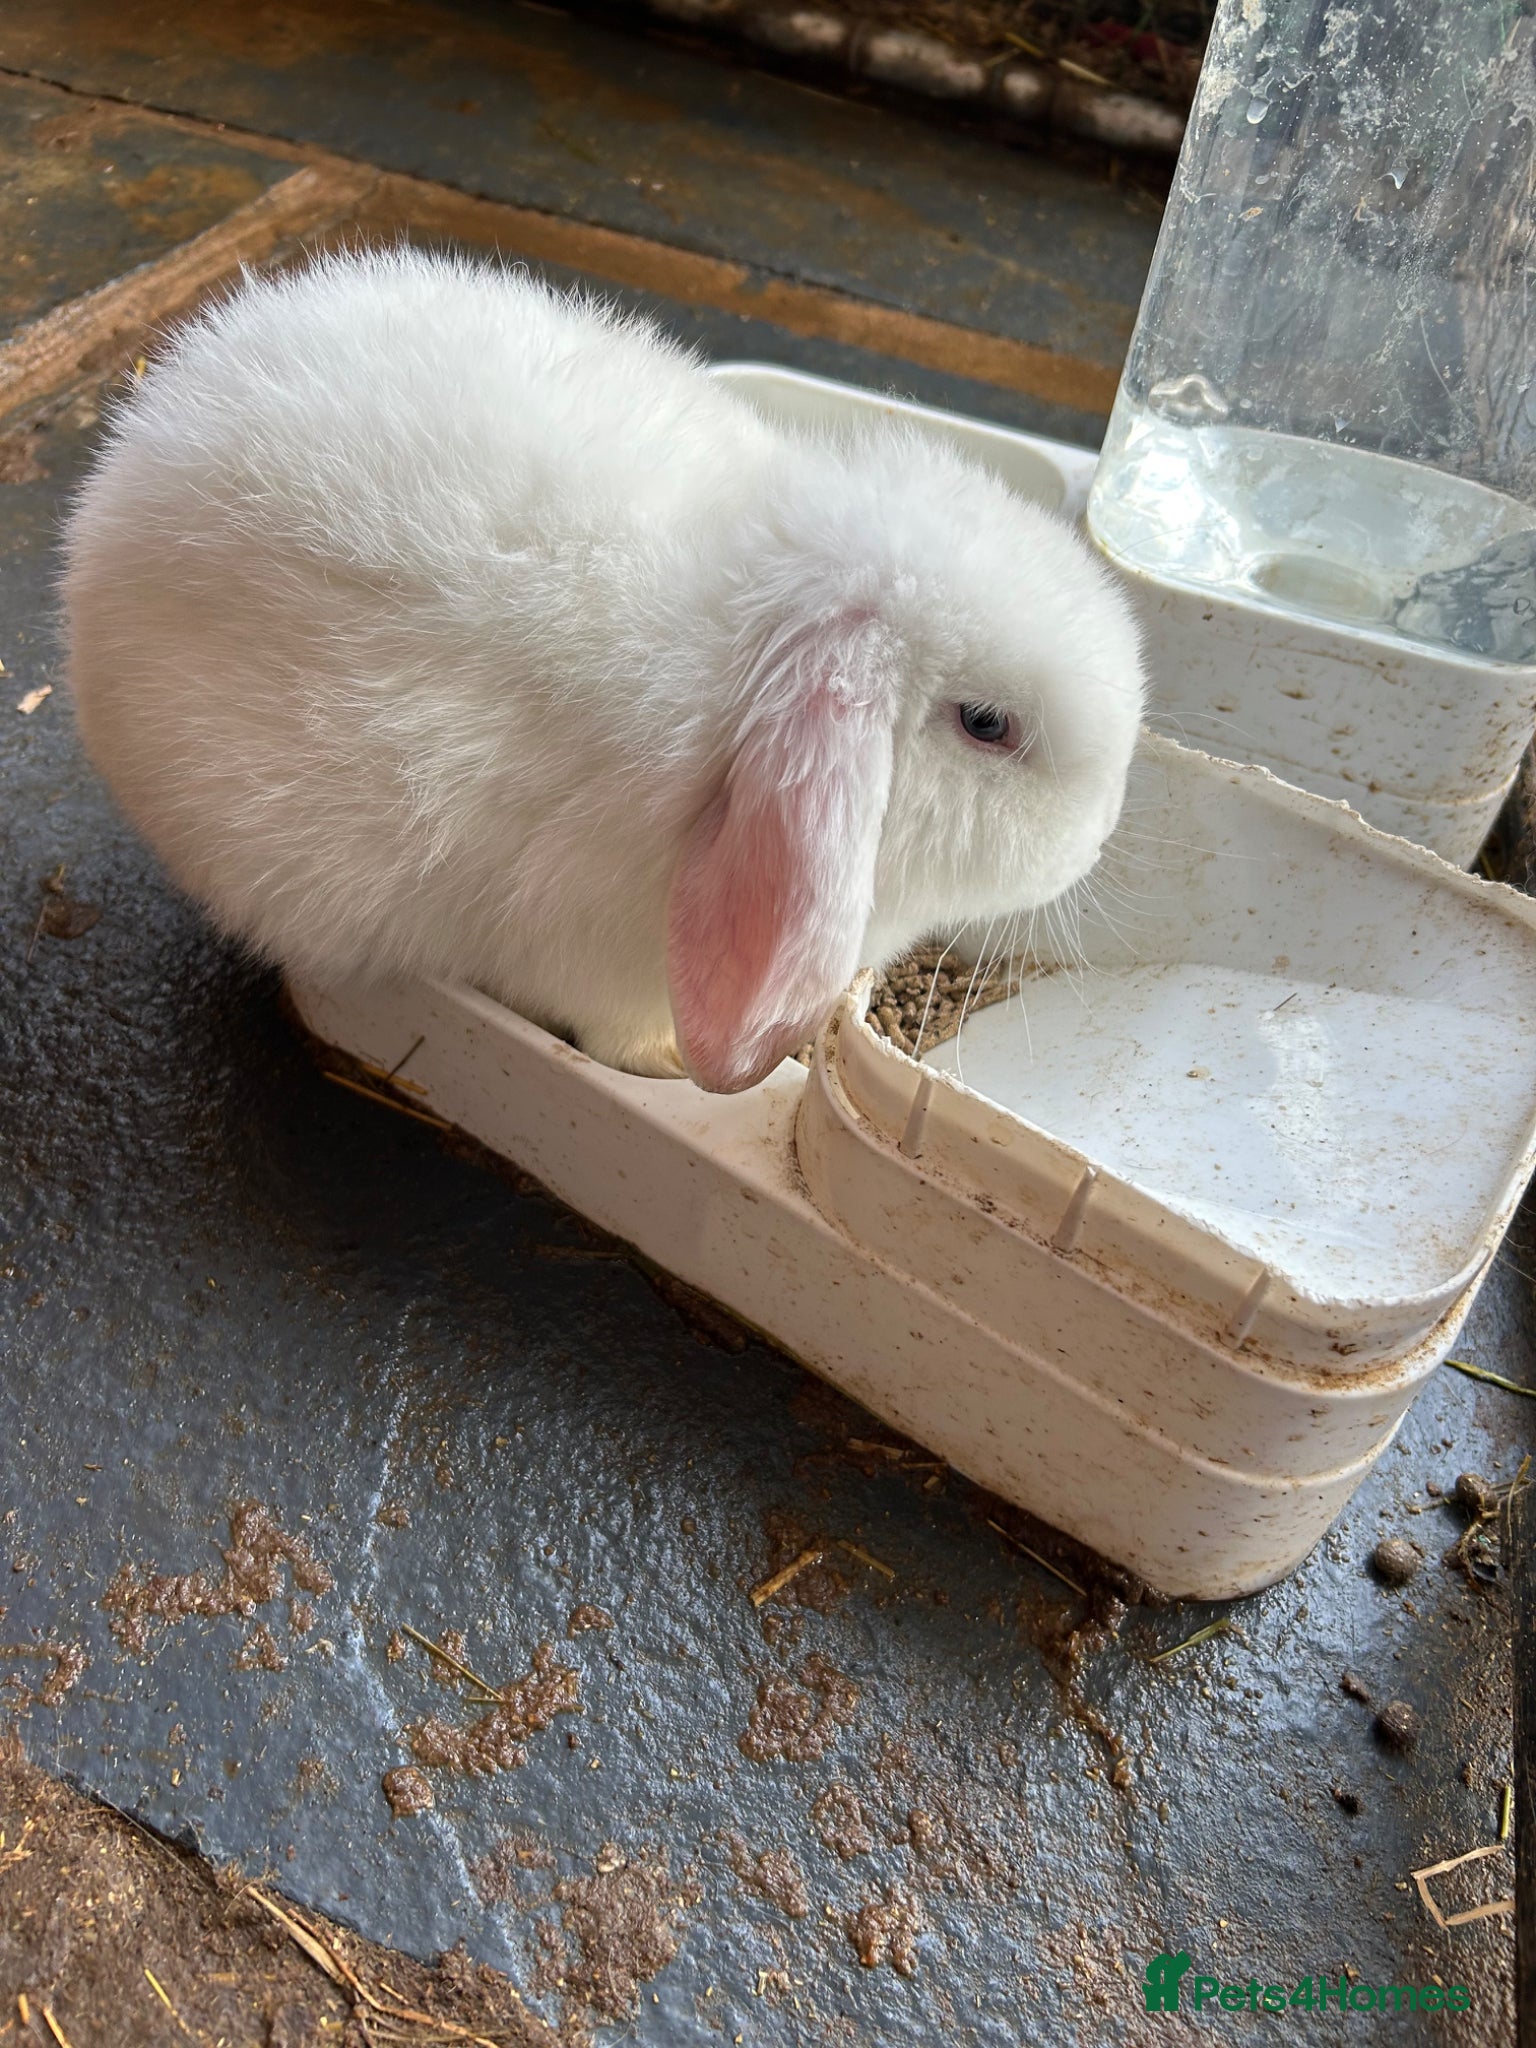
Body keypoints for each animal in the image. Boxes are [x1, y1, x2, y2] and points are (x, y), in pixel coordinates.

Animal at [64, 247, 1145, 1093]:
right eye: (987, 723)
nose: (1100, 837)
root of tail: (132, 448)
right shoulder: (592, 955)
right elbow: (614, 1031)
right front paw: (668, 1068)